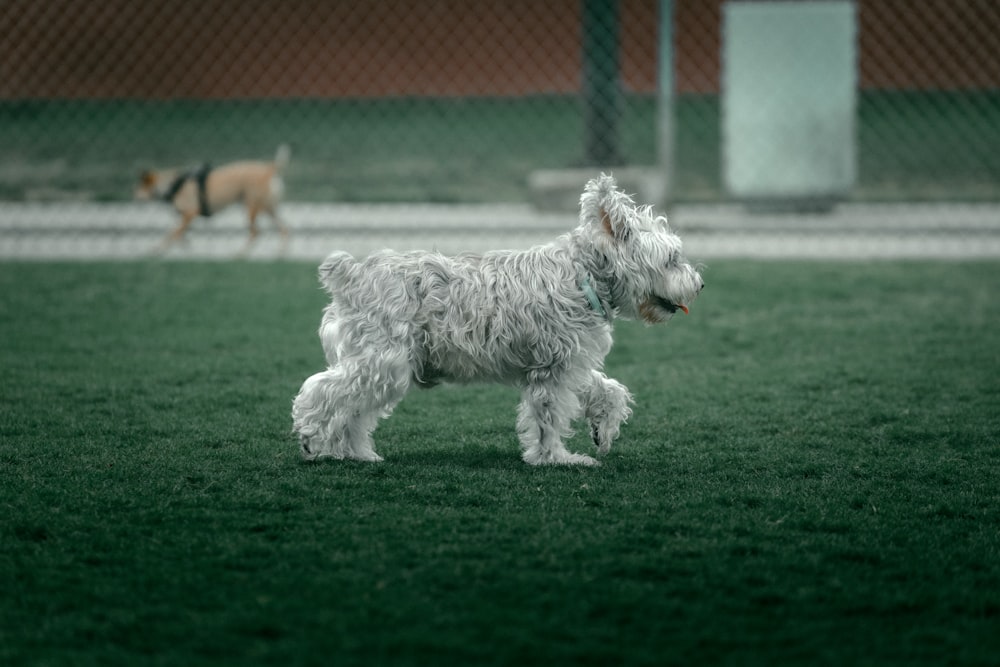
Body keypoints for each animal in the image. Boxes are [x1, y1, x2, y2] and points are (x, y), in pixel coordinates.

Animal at [134, 144, 290, 256]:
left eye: (140, 187)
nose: (134, 195)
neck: (173, 185)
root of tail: (269, 169)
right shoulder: (185, 218)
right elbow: (179, 234)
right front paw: (184, 246)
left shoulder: (190, 213)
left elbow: (172, 234)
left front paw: (158, 249)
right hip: (268, 209)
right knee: (284, 229)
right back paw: (280, 253)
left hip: (252, 209)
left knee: (256, 233)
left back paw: (240, 254)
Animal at [292, 174, 708, 464]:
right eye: (671, 259)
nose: (700, 284)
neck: (583, 276)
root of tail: (350, 275)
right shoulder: (551, 372)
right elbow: (548, 419)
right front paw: (556, 459)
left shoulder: (569, 364)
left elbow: (606, 389)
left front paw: (601, 430)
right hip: (383, 363)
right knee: (322, 392)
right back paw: (311, 437)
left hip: (380, 368)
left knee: (351, 412)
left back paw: (357, 453)